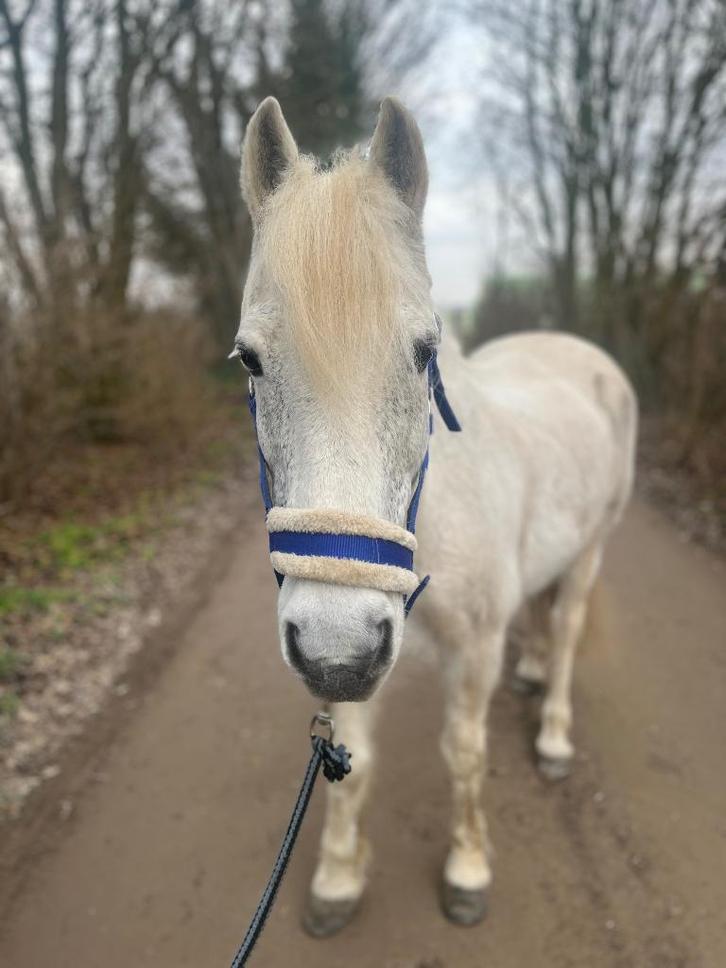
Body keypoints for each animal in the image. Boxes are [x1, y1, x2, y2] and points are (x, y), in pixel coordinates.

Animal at [235, 95, 637, 936]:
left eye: (425, 352)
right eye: (249, 359)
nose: (339, 653)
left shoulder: (472, 650)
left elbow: (465, 755)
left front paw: (468, 869)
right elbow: (351, 772)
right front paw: (338, 879)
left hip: (593, 546)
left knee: (569, 625)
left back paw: (554, 732)